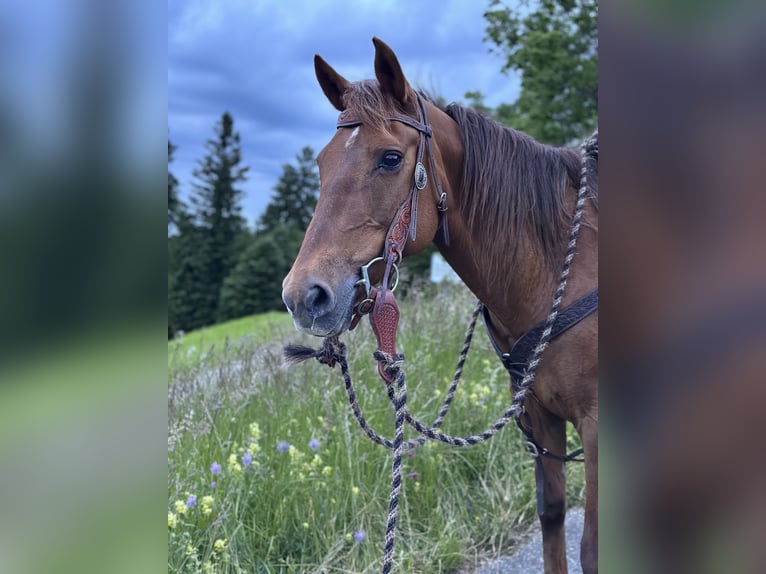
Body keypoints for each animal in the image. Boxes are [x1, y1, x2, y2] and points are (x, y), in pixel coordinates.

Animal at [282, 38, 598, 574]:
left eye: (390, 158)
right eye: (322, 164)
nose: (304, 296)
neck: (563, 264)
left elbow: (592, 545)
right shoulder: (539, 419)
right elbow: (553, 515)